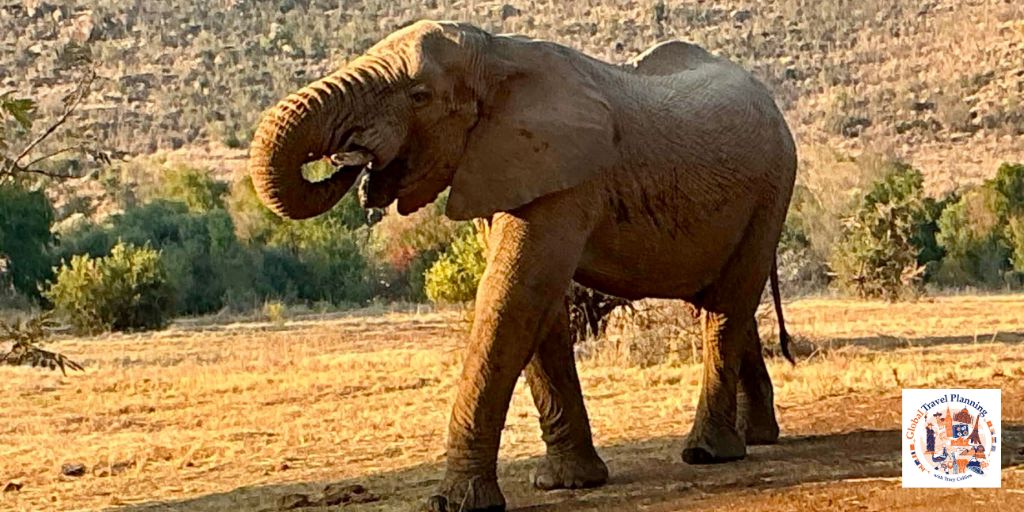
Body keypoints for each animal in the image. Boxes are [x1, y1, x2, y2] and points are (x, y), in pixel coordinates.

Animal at [249, 21, 797, 512]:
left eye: (419, 96)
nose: (350, 161)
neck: (495, 54)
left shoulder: (564, 176)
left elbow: (515, 295)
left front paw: (454, 502)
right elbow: (539, 307)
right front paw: (567, 483)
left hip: (773, 187)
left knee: (727, 304)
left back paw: (709, 453)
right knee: (724, 304)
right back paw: (757, 437)